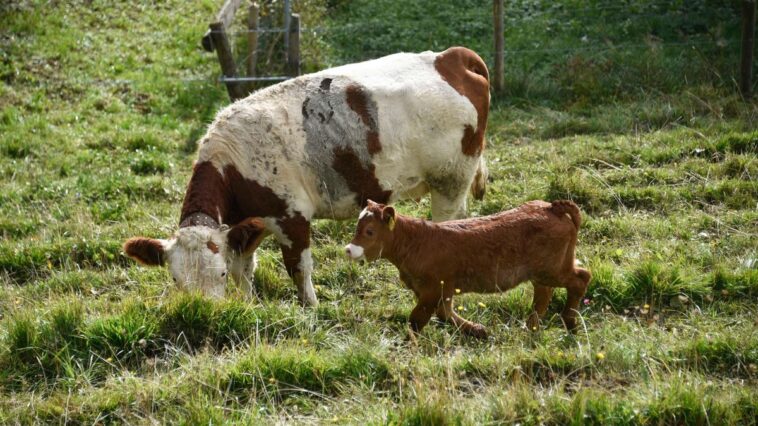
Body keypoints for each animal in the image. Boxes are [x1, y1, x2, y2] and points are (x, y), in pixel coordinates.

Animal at [123, 47, 492, 306]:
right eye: (175, 280)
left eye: (220, 273)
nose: (204, 311)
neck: (232, 164)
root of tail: (450, 58)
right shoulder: (249, 224)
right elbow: (246, 267)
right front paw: (247, 304)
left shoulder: (292, 216)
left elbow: (298, 268)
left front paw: (310, 307)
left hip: (450, 179)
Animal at [348, 201, 592, 340]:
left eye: (369, 231)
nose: (349, 249)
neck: (415, 241)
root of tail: (551, 207)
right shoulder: (440, 290)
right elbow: (445, 313)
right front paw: (479, 331)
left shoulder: (433, 289)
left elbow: (416, 319)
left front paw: (407, 343)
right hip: (544, 272)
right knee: (543, 295)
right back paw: (531, 327)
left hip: (553, 269)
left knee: (581, 278)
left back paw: (569, 323)